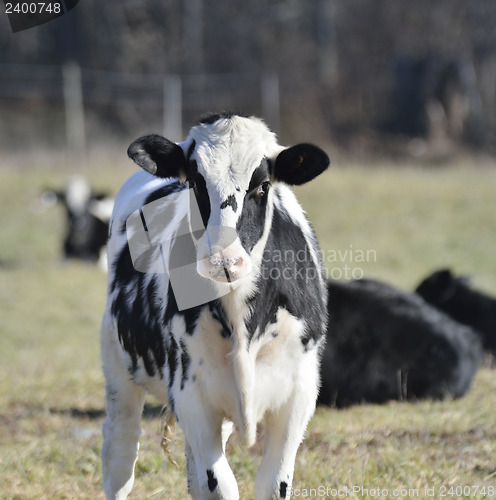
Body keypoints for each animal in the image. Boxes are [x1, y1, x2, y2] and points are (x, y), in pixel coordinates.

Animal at [101, 113, 330, 500]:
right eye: (195, 182)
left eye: (262, 185)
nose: (224, 259)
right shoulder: (191, 393)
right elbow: (218, 484)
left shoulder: (297, 394)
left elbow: (273, 483)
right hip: (118, 369)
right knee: (120, 453)